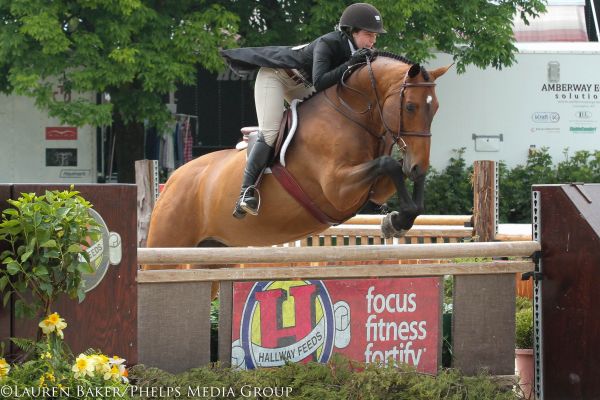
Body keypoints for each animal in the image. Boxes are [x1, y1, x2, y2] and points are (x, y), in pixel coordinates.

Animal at [145, 54, 448, 256]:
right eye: (410, 107)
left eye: (435, 108)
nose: (418, 164)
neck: (352, 113)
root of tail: (172, 180)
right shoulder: (338, 188)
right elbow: (389, 164)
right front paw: (395, 221)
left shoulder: (375, 188)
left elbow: (395, 171)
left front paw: (396, 221)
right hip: (167, 244)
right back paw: (246, 199)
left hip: (213, 251)